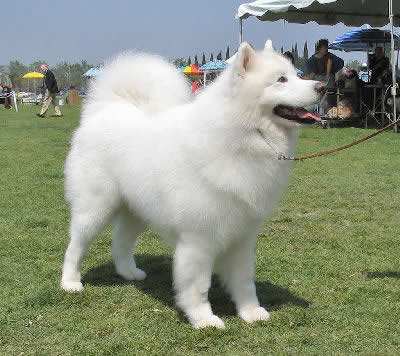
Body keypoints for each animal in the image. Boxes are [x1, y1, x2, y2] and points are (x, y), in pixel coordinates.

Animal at [61, 41, 324, 328]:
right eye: (281, 80)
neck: (244, 136)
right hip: (95, 207)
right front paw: (203, 319)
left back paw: (129, 272)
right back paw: (70, 283)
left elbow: (244, 281)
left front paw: (251, 312)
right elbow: (197, 285)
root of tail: (105, 109)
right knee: (75, 246)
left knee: (121, 241)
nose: (322, 87)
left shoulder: (243, 236)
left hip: (137, 210)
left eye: (296, 75)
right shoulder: (198, 239)